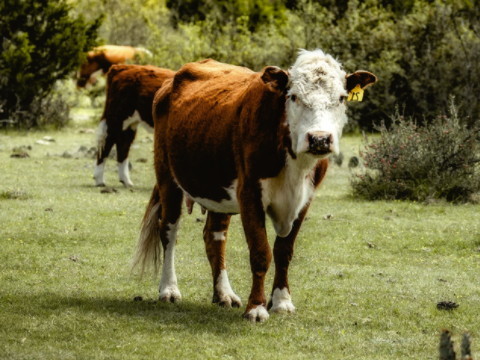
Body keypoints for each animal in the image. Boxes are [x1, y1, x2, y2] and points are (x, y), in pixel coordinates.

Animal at [133, 49, 376, 322]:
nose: (319, 139)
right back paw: (169, 289)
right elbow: (261, 252)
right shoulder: (249, 193)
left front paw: (282, 301)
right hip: (167, 177)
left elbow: (284, 251)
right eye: (293, 96)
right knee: (168, 230)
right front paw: (257, 308)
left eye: (342, 98)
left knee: (215, 237)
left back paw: (224, 294)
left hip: (217, 187)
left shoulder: (305, 199)